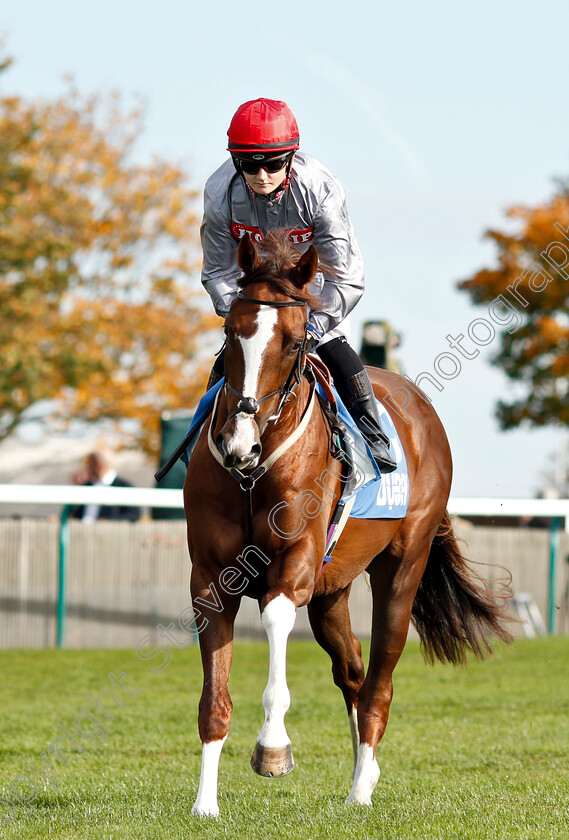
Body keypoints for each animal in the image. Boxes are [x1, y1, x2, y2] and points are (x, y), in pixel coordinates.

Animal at [183, 233, 510, 816]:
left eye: (294, 344)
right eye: (229, 334)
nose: (239, 445)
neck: (253, 475)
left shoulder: (294, 565)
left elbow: (274, 621)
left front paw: (273, 748)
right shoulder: (210, 578)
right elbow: (213, 699)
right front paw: (205, 805)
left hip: (401, 569)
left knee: (378, 682)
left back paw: (361, 790)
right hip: (332, 591)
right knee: (353, 672)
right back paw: (364, 773)